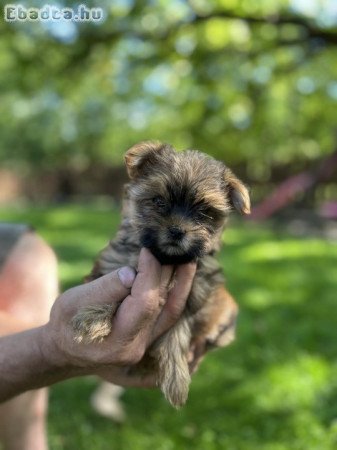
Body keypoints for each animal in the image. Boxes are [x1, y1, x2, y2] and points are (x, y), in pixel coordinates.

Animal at [71, 141, 249, 408]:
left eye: (204, 212)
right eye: (158, 201)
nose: (177, 231)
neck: (167, 260)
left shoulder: (192, 297)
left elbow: (176, 334)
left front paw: (176, 381)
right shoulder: (116, 265)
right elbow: (117, 291)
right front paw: (94, 318)